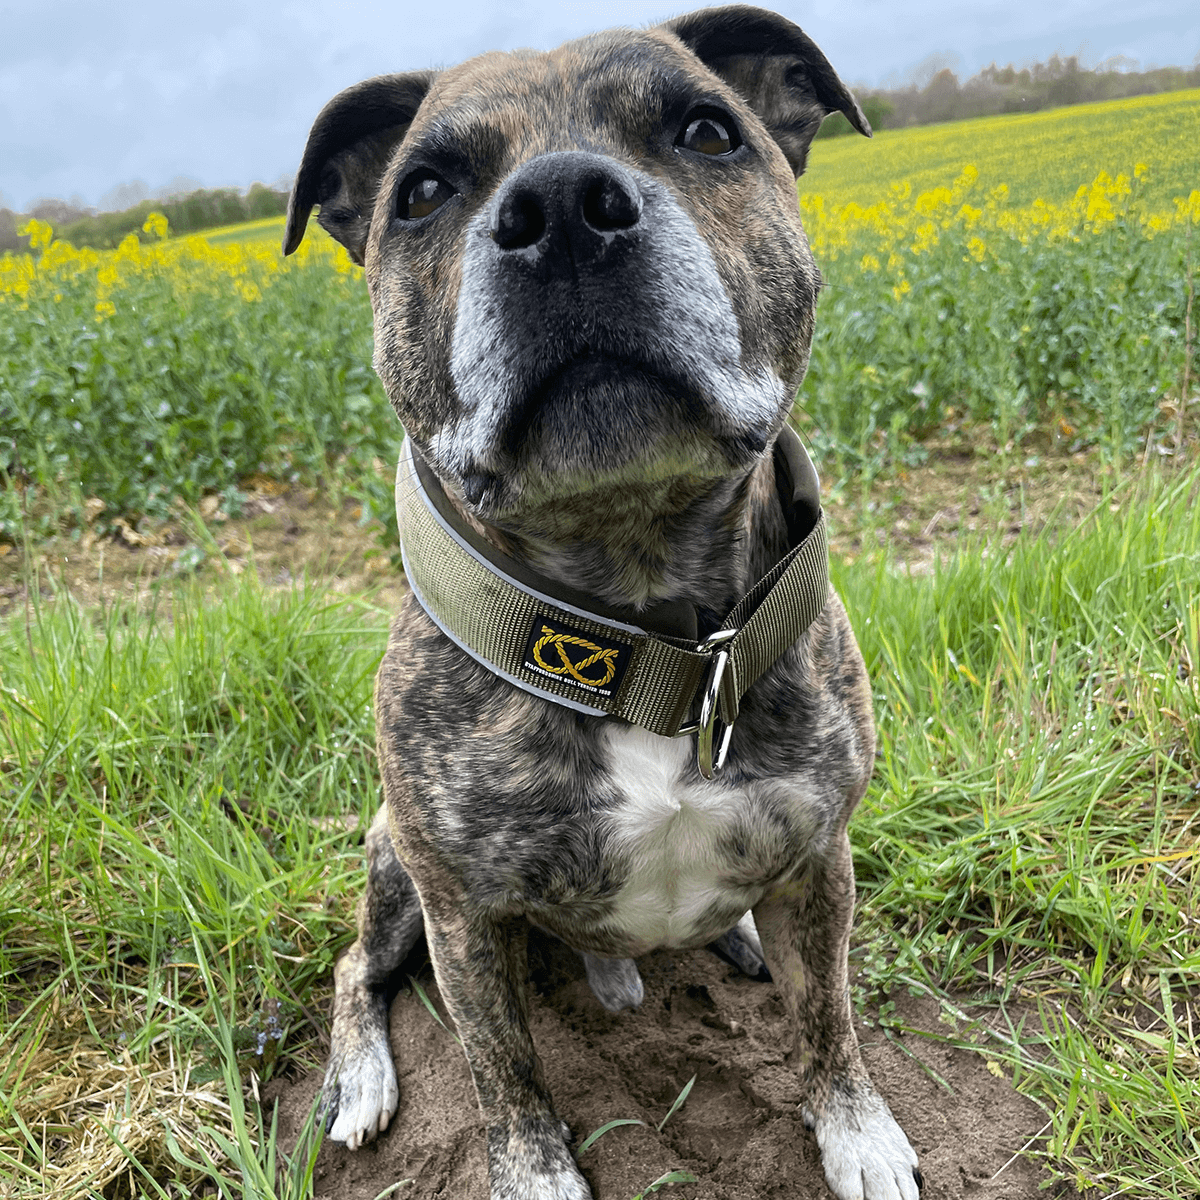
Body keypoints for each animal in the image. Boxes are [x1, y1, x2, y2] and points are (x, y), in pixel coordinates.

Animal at [285, 9, 921, 1200]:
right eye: (424, 190)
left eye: (708, 130)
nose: (563, 208)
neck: (641, 627)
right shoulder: (463, 917)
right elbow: (504, 1072)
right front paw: (534, 1173)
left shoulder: (820, 858)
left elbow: (829, 1014)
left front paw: (857, 1130)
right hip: (394, 865)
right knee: (356, 966)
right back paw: (360, 1077)